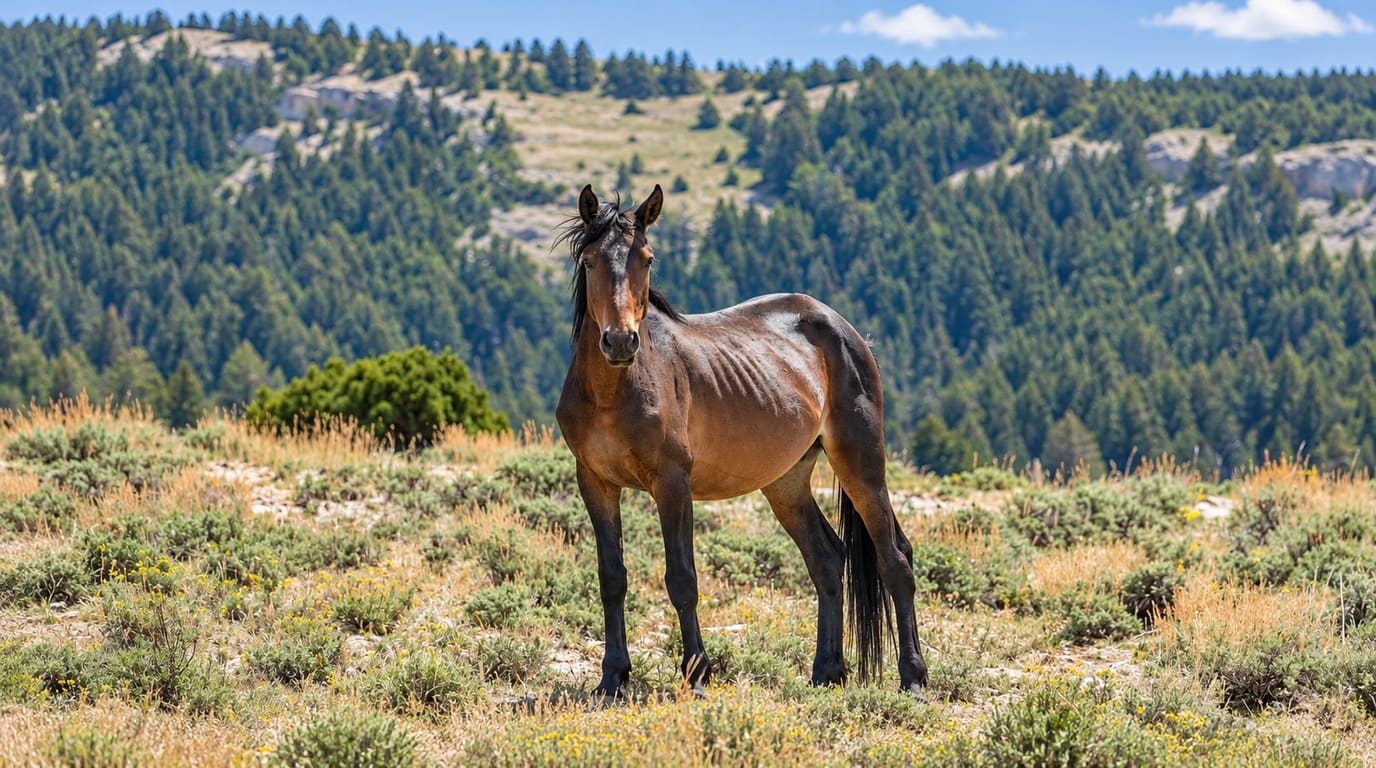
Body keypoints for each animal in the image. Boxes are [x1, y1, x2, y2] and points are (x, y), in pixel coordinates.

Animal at [554, 184, 927, 697]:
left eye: (646, 260)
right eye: (589, 262)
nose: (620, 342)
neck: (615, 391)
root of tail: (843, 328)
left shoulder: (672, 483)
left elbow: (682, 578)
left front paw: (696, 674)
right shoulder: (595, 482)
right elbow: (612, 577)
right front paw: (612, 677)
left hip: (861, 464)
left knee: (894, 559)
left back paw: (913, 677)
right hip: (786, 483)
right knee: (828, 560)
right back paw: (826, 672)